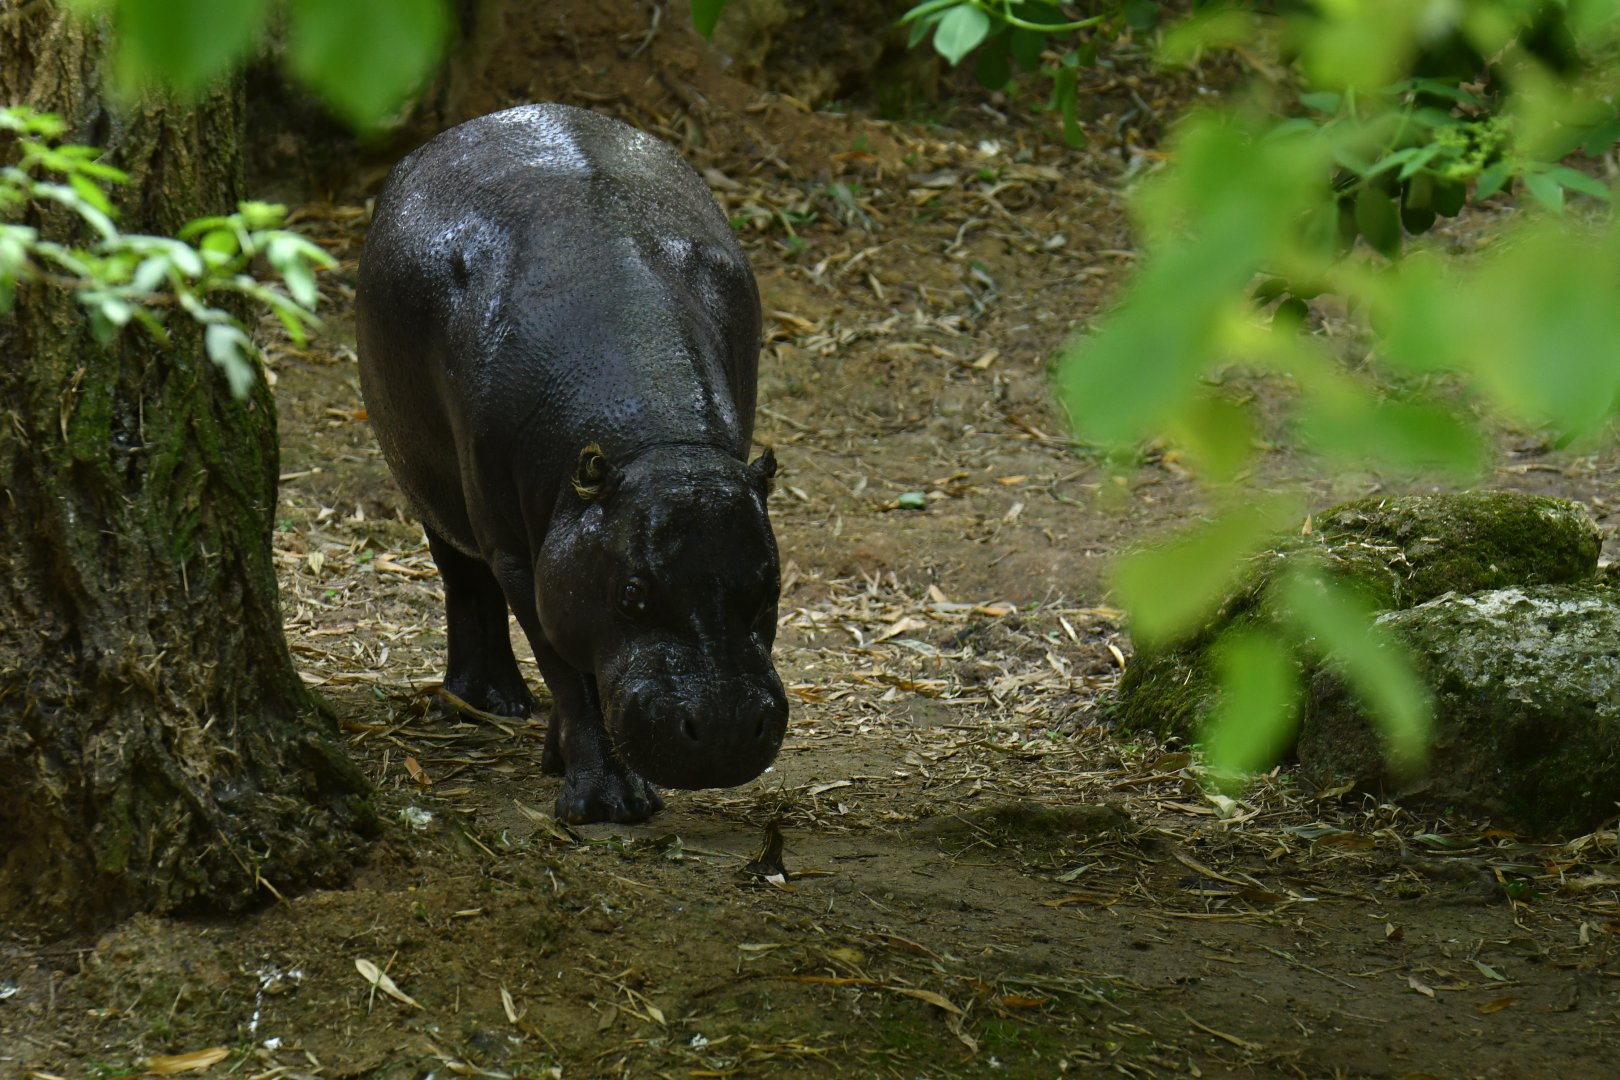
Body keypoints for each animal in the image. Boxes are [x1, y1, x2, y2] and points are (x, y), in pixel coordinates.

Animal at [355, 104, 787, 824]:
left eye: (768, 585)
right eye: (633, 592)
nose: (725, 730)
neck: (660, 446)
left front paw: (565, 763)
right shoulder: (523, 556)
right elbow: (565, 666)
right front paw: (608, 804)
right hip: (430, 485)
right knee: (463, 579)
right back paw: (483, 702)